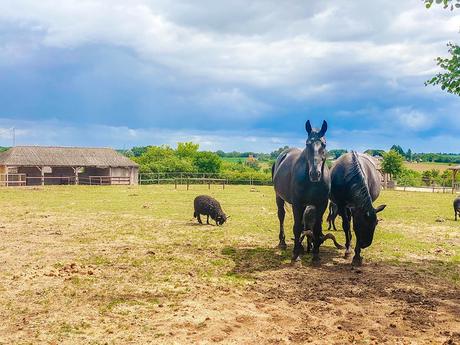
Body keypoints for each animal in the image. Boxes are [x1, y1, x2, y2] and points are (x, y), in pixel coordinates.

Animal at [274, 120, 330, 260]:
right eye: (307, 143)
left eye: (324, 144)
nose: (315, 174)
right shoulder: (297, 203)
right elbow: (297, 227)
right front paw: (295, 255)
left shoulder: (322, 204)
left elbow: (316, 228)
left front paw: (315, 255)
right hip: (279, 197)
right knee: (281, 215)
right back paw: (283, 242)